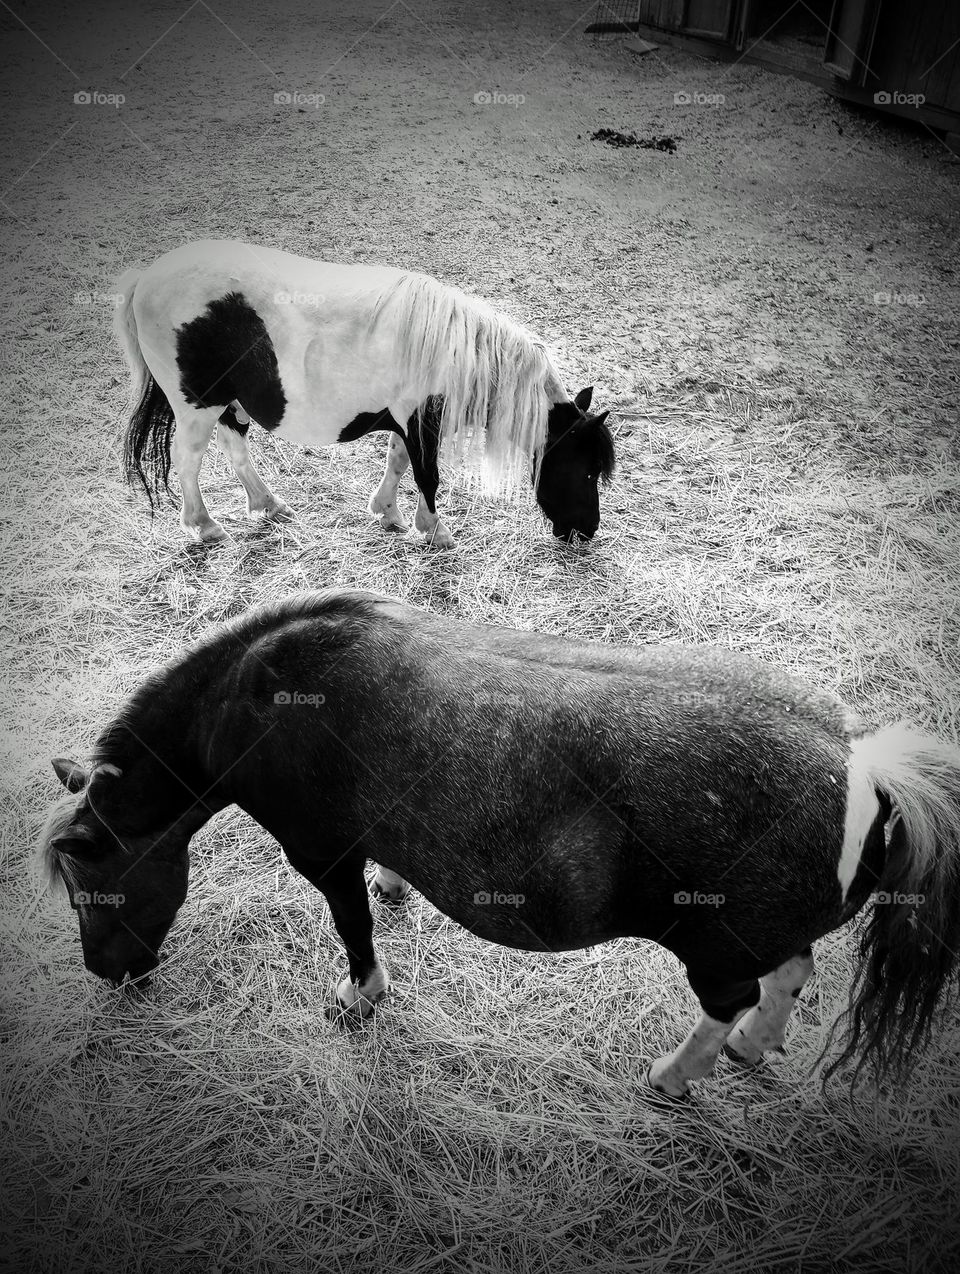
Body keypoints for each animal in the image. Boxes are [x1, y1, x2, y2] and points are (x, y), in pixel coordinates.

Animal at [39, 589, 960, 1098]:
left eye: (90, 885)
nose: (106, 973)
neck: (256, 693)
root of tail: (862, 763)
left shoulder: (319, 851)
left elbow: (351, 927)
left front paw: (360, 994)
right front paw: (396, 888)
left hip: (713, 945)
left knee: (729, 998)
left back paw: (675, 1074)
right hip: (754, 935)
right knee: (789, 973)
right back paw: (750, 1046)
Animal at [112, 241, 615, 548]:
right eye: (587, 471)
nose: (586, 531)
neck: (453, 348)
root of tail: (146, 280)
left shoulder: (407, 420)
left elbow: (397, 462)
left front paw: (388, 513)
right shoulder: (421, 422)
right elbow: (427, 477)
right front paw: (434, 530)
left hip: (229, 404)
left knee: (233, 446)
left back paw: (267, 504)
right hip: (198, 405)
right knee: (189, 460)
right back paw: (204, 526)